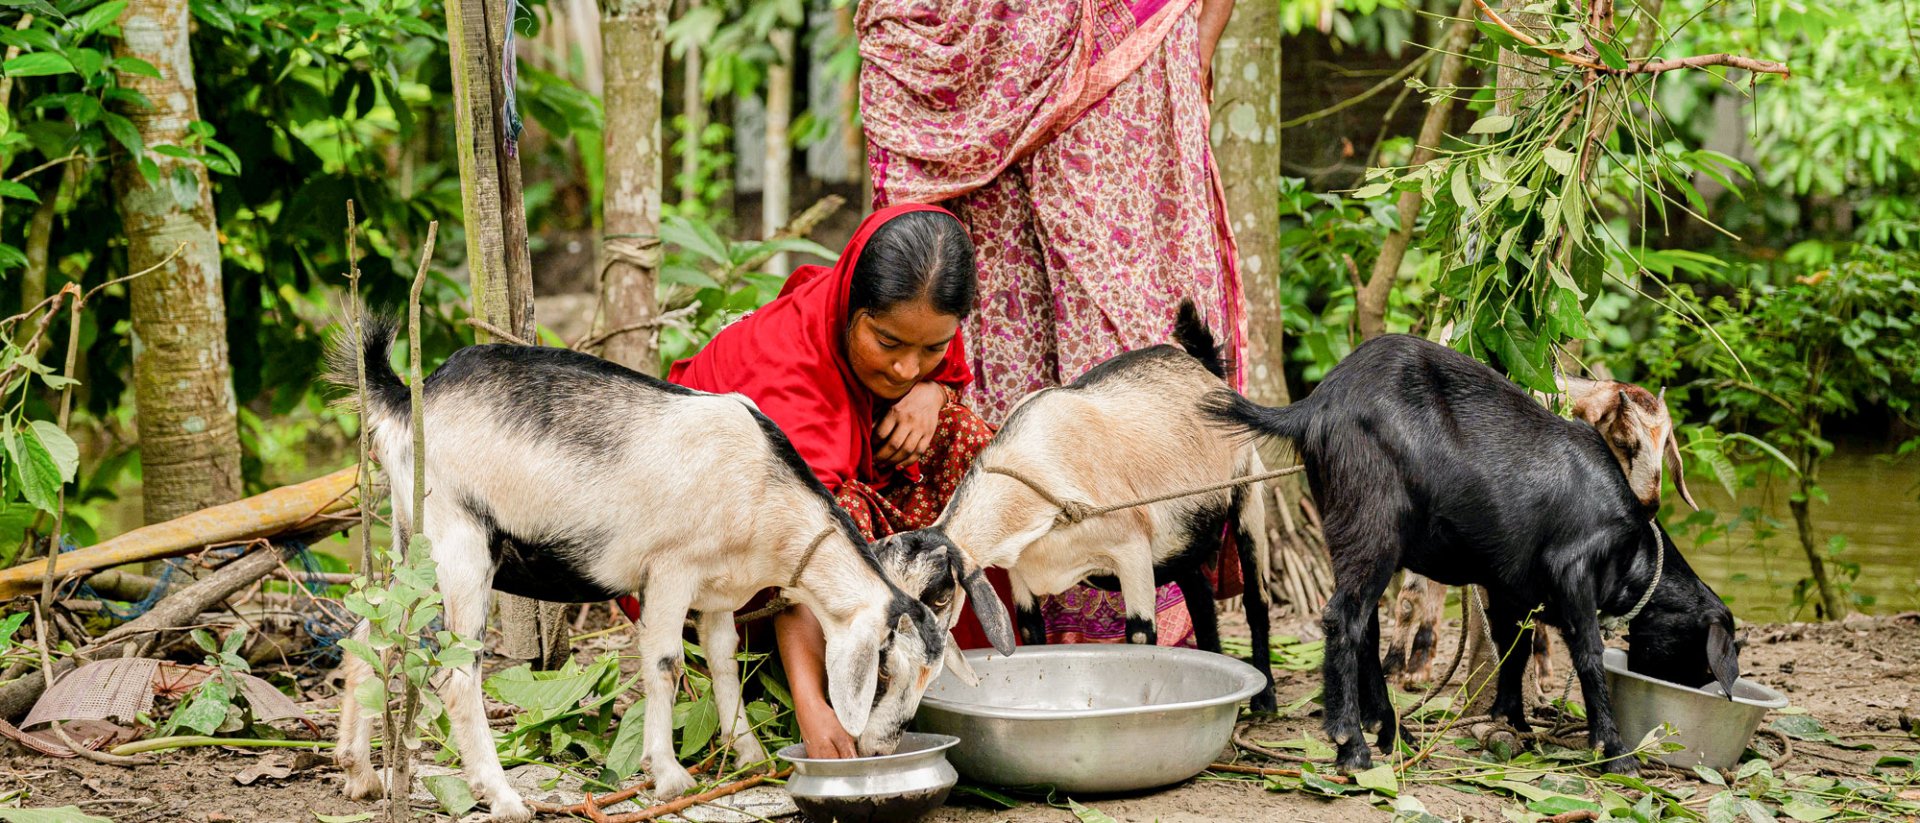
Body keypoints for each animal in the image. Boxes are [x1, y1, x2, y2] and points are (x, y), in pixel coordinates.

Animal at [328, 315, 963, 822]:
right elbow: (665, 663)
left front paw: (749, 755)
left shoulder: (718, 592)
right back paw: (503, 797)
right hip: (461, 542)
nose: (880, 751)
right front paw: (669, 775)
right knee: (458, 673)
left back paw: (360, 774)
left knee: (369, 635)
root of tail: (408, 397)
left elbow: (725, 661)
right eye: (884, 672)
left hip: (414, 548)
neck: (763, 489)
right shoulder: (670, 570)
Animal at [875, 301, 1277, 712]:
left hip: (1248, 491)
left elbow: (1140, 638)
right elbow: (1032, 634)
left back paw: (1266, 700)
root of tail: (1203, 367)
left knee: (1256, 599)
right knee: (1200, 595)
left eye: (940, 597)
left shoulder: (1131, 551)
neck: (1038, 475)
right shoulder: (1020, 575)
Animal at [1206, 334, 1739, 774]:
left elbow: (1514, 649)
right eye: (1701, 660)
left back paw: (1393, 733)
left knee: (1365, 625)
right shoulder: (1571, 570)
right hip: (1374, 521)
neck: (1633, 553)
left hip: (1348, 525)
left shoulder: (1512, 588)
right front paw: (1615, 752)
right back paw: (1352, 745)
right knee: (1343, 618)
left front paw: (1513, 721)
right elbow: (1587, 652)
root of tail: (1315, 405)